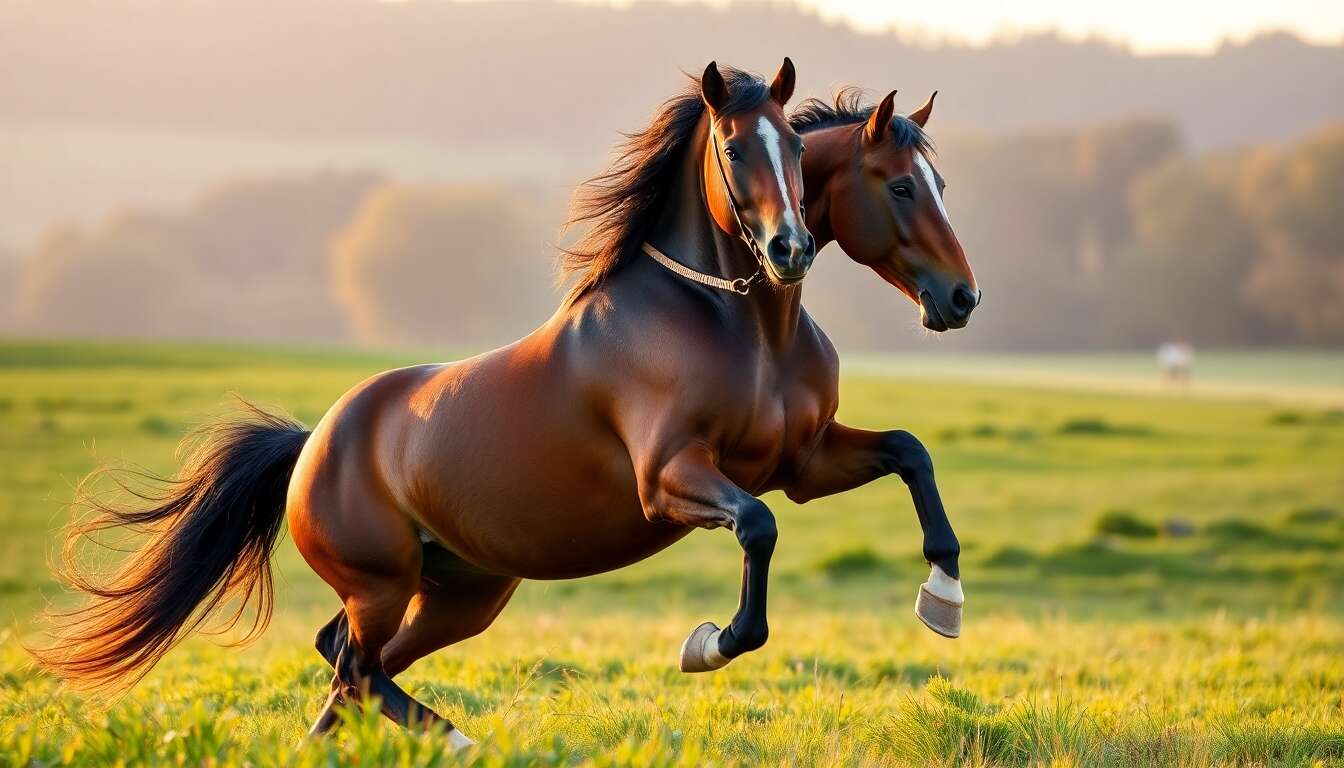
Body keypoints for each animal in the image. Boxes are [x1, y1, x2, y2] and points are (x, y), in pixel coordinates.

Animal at [33, 63, 978, 746]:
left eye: (939, 182)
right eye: (738, 150)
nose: (962, 298)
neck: (737, 324)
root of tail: (314, 442)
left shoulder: (801, 462)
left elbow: (910, 452)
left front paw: (943, 598)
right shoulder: (672, 477)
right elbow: (758, 530)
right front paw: (705, 644)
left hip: (461, 594)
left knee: (346, 669)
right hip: (382, 584)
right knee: (354, 665)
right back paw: (456, 740)